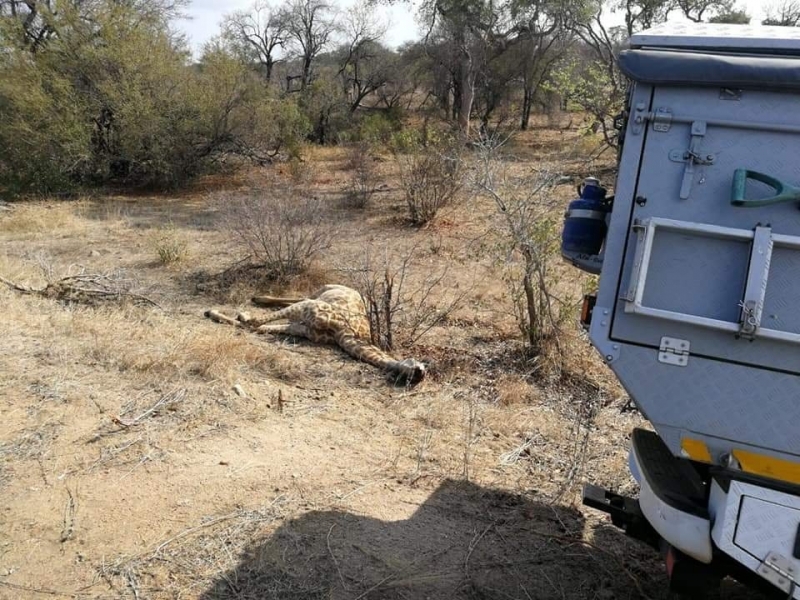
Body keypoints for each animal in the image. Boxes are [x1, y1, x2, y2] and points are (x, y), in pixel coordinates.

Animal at [206, 282, 428, 384]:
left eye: (409, 377)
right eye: (415, 366)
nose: (419, 374)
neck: (346, 334)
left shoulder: (302, 329)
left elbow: (255, 327)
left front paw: (218, 314)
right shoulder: (310, 308)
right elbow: (252, 322)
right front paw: (238, 314)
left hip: (313, 301)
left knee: (296, 299)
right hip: (318, 294)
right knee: (299, 297)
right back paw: (256, 298)